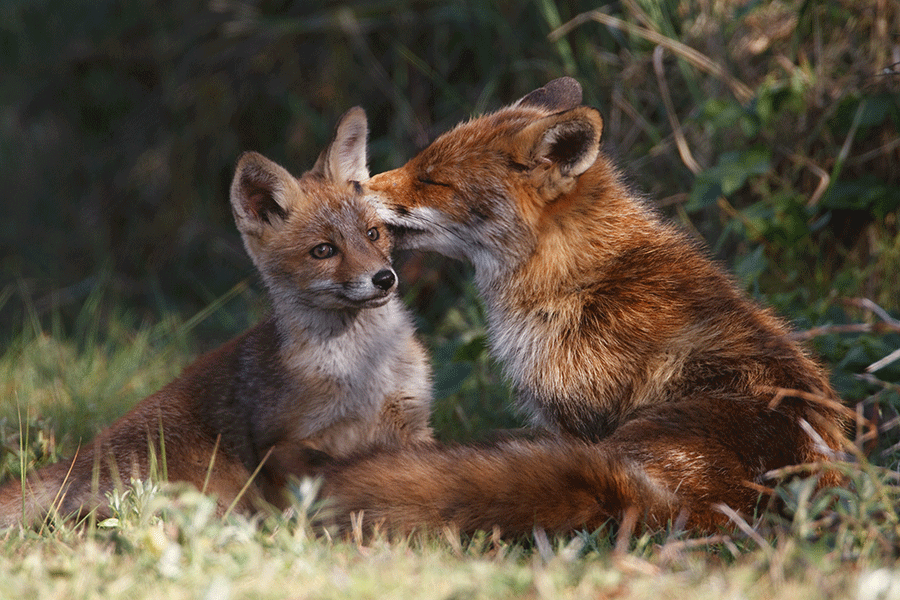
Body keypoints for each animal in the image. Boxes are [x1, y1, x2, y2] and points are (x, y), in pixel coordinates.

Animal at [0, 106, 432, 524]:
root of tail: (78, 459)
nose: (384, 278)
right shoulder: (285, 442)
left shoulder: (411, 426)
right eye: (324, 251)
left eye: (373, 234)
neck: (365, 374)